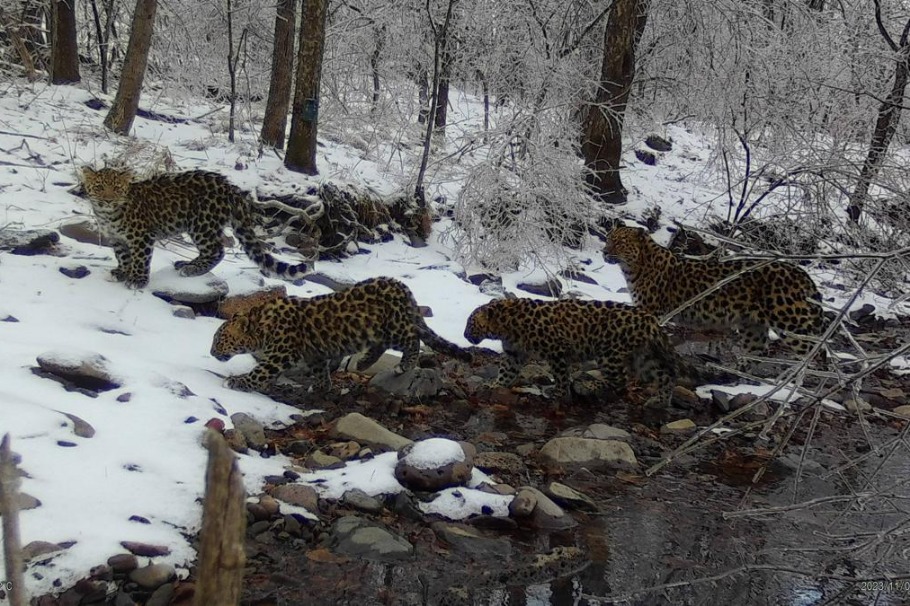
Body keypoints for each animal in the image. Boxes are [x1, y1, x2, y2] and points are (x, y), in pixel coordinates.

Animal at [75, 167, 310, 288]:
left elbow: (140, 258)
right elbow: (123, 256)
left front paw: (138, 279)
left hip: (201, 224)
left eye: (116, 188)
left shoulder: (142, 236)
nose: (108, 200)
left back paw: (191, 268)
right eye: (99, 187)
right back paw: (186, 263)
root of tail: (231, 188)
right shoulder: (117, 239)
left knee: (216, 250)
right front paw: (122, 272)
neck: (108, 215)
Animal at [211, 276, 474, 392]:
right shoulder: (314, 354)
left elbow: (260, 372)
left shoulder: (279, 354)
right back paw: (364, 363)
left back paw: (404, 366)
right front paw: (321, 386)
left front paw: (237, 381)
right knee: (382, 345)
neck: (261, 326)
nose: (212, 352)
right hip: (378, 329)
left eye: (219, 339)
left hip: (394, 327)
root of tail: (403, 289)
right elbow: (320, 369)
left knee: (413, 338)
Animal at [464, 300, 676, 408]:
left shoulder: (556, 350)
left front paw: (559, 393)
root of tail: (649, 318)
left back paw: (589, 386)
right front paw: (495, 385)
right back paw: (660, 400)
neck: (506, 324)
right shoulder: (513, 354)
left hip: (608, 353)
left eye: (470, 323)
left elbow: (561, 375)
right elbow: (506, 373)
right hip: (642, 356)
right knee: (664, 375)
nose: (464, 334)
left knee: (620, 379)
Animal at [604, 224, 828, 358]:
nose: (604, 252)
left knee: (816, 353)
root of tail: (804, 275)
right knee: (753, 354)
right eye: (608, 238)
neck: (632, 267)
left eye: (620, 242)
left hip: (791, 323)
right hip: (753, 326)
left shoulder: (651, 311)